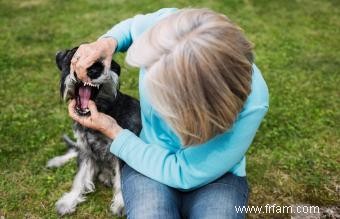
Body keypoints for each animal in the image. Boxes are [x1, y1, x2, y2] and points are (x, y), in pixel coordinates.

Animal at [45, 46, 141, 216]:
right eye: (75, 58)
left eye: (103, 63)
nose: (93, 71)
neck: (106, 108)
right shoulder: (85, 149)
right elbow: (79, 178)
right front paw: (69, 201)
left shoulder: (121, 154)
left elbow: (121, 180)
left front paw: (121, 204)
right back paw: (56, 161)